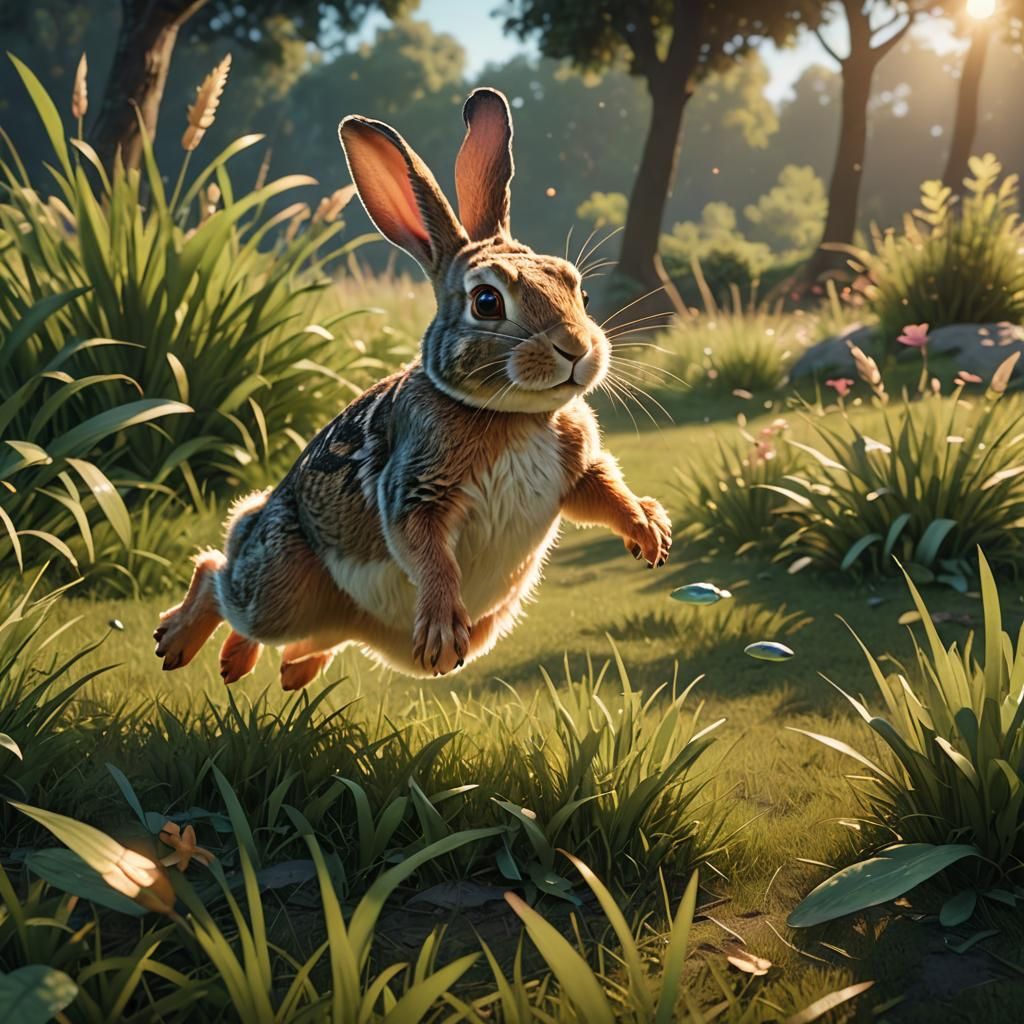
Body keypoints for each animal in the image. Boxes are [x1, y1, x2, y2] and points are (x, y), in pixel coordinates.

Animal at [153, 87, 672, 690]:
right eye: (487, 302)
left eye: (580, 293)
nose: (577, 347)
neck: (514, 414)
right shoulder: (416, 488)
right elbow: (430, 556)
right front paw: (442, 635)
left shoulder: (578, 471)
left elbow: (607, 493)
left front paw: (650, 533)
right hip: (278, 586)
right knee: (218, 573)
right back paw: (177, 641)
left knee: (292, 634)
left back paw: (263, 668)